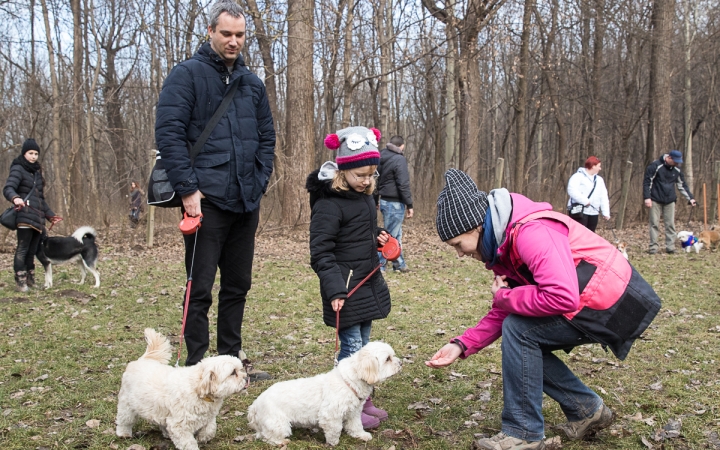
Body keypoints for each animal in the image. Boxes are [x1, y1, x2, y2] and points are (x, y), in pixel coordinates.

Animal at [116, 326, 249, 450]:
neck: (198, 390)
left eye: (240, 369)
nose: (247, 378)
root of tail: (143, 360)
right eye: (233, 373)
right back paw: (124, 433)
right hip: (127, 406)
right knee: (124, 420)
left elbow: (210, 429)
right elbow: (188, 443)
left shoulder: (208, 417)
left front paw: (203, 437)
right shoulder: (179, 426)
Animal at [248, 342, 402, 446]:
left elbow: (356, 425)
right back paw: (282, 441)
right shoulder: (330, 415)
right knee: (267, 437)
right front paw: (333, 443)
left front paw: (361, 435)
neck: (350, 381)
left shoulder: (354, 412)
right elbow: (334, 430)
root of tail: (255, 405)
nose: (400, 363)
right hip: (279, 424)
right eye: (388, 359)